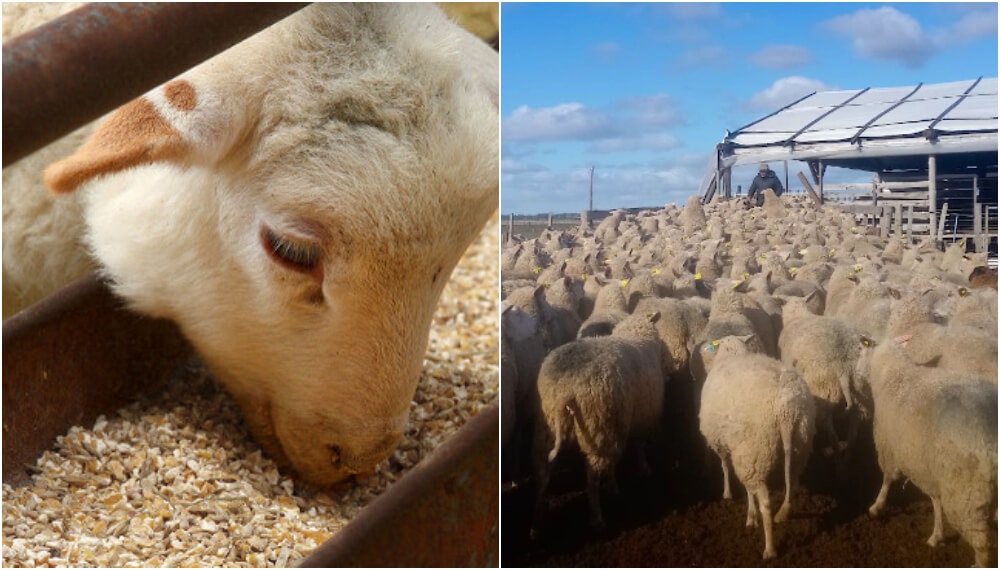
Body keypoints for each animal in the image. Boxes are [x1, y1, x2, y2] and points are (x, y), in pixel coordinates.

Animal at [532, 311, 665, 533]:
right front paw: (644, 469)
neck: (637, 335)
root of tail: (565, 388)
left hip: (548, 428)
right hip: (601, 427)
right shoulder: (642, 417)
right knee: (593, 478)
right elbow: (639, 447)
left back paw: (536, 523)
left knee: (543, 475)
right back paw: (597, 517)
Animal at [699, 336, 816, 560]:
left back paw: (769, 549)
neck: (733, 353)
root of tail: (786, 411)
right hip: (800, 444)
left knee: (766, 503)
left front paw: (730, 496)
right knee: (792, 483)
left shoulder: (722, 442)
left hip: (754, 452)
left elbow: (725, 467)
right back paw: (784, 512)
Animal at [854, 337, 997, 567]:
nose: (856, 377)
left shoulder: (889, 447)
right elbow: (935, 500)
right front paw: (936, 536)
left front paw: (877, 506)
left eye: (860, 350)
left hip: (966, 494)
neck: (892, 375)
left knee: (982, 543)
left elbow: (887, 478)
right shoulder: (926, 465)